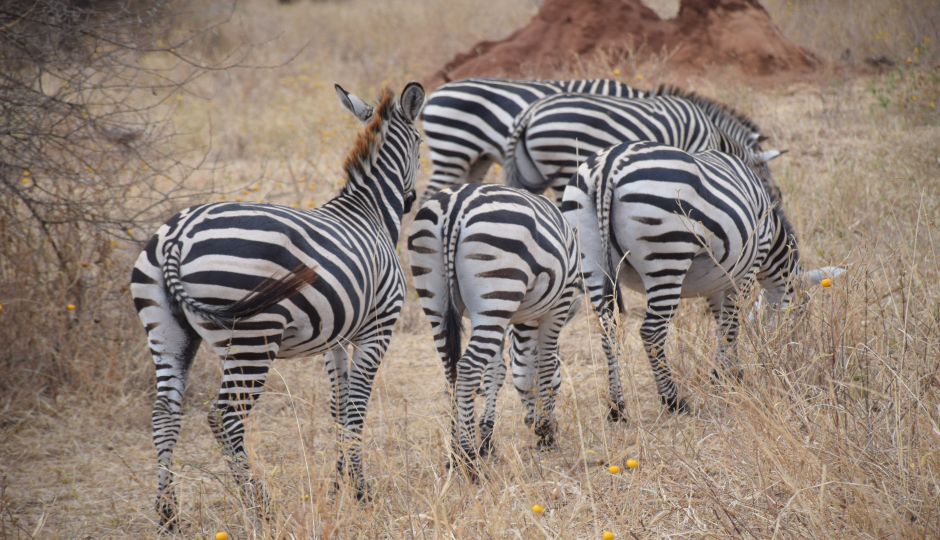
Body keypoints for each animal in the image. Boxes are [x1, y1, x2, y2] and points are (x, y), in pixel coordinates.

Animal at [131, 82, 426, 528]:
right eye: (422, 144)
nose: (410, 200)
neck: (370, 213)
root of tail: (178, 236)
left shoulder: (336, 338)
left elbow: (339, 407)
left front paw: (339, 485)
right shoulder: (379, 325)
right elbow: (357, 406)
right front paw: (362, 491)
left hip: (166, 330)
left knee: (165, 413)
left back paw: (168, 513)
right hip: (253, 336)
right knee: (225, 418)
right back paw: (262, 508)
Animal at [410, 184, 580, 474]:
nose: (531, 423)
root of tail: (456, 205)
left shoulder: (501, 319)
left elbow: (498, 371)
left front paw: (487, 438)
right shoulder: (559, 303)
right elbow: (546, 366)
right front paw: (546, 434)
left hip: (440, 300)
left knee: (451, 372)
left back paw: (455, 452)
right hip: (498, 290)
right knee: (467, 370)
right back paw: (469, 460)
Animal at [504, 90, 784, 205]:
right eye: (763, 178)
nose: (779, 199)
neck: (714, 134)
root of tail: (530, 112)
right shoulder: (694, 153)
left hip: (530, 171)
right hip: (563, 166)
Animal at [560, 139, 840, 418]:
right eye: (802, 311)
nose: (792, 355)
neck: (772, 242)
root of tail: (608, 168)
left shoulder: (715, 280)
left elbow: (721, 323)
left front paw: (731, 373)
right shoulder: (745, 269)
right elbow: (731, 325)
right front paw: (723, 378)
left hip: (591, 258)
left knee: (608, 331)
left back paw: (616, 407)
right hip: (667, 255)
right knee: (652, 332)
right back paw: (673, 401)